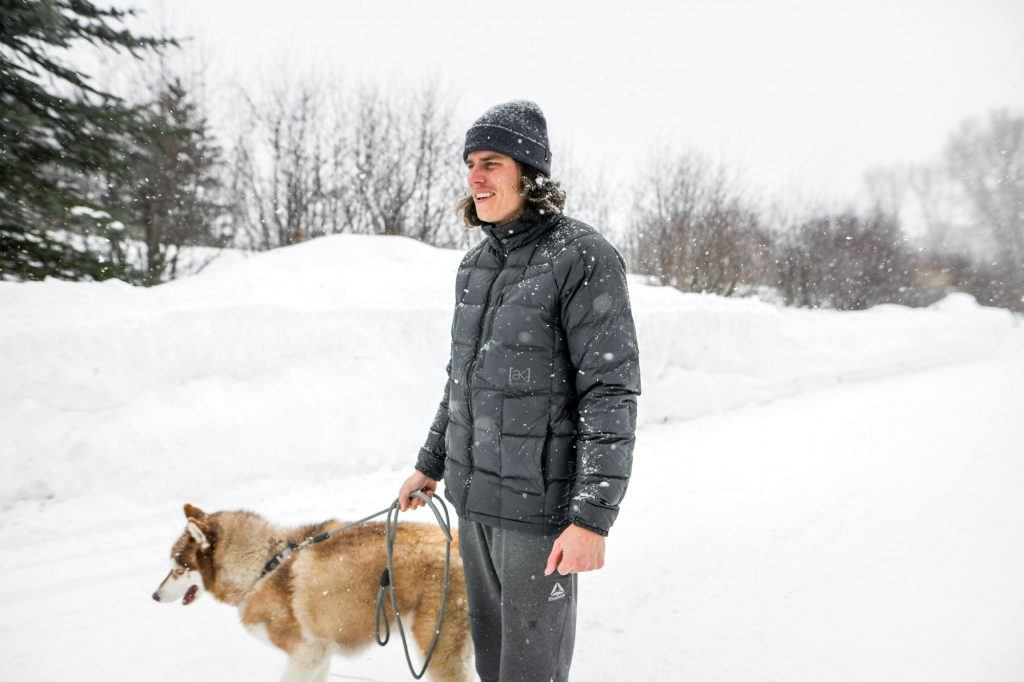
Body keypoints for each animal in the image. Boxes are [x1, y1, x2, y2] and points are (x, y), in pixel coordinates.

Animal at [153, 503, 471, 682]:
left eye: (178, 570)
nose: (154, 596)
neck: (262, 567)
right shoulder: (319, 655)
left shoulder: (307, 654)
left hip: (435, 649)